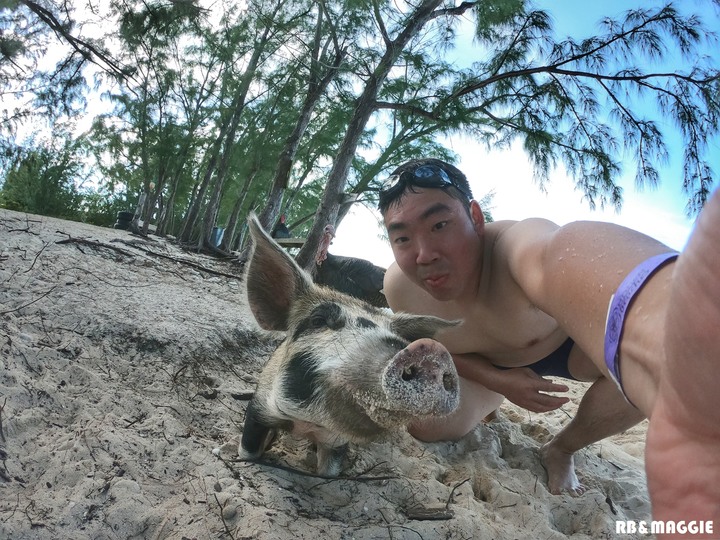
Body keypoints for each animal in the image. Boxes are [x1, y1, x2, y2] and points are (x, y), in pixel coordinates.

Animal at [239, 215, 458, 476]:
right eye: (318, 320)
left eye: (393, 333)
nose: (432, 350)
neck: (306, 424)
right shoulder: (259, 408)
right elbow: (248, 451)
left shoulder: (336, 442)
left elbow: (329, 473)